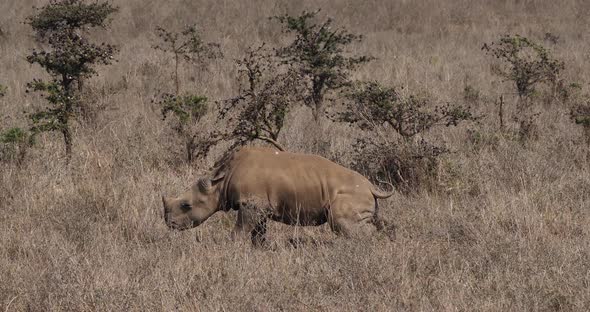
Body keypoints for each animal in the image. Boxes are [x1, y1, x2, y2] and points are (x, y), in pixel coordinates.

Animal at [162, 146, 396, 244]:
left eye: (186, 205)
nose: (169, 224)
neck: (222, 180)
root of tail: (371, 187)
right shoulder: (258, 205)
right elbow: (257, 232)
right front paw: (259, 249)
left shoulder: (251, 204)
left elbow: (240, 230)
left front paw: (233, 247)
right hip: (364, 195)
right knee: (378, 219)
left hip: (350, 194)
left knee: (339, 222)